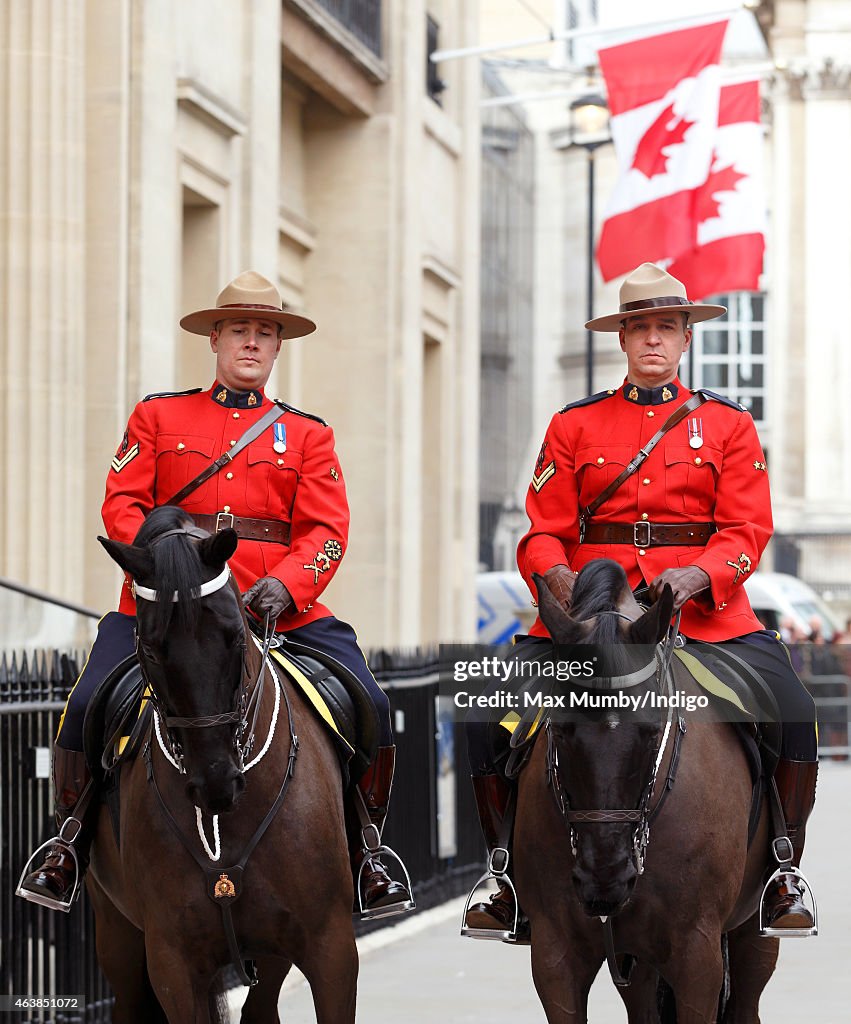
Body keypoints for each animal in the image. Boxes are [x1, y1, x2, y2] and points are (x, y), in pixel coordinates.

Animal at [91, 507, 358, 1019]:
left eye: (236, 637)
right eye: (150, 649)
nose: (215, 782)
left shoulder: (331, 949)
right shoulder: (173, 962)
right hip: (117, 934)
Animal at [516, 561, 782, 1024]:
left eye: (651, 730)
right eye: (561, 730)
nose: (605, 877)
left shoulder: (697, 956)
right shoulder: (555, 953)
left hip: (754, 929)